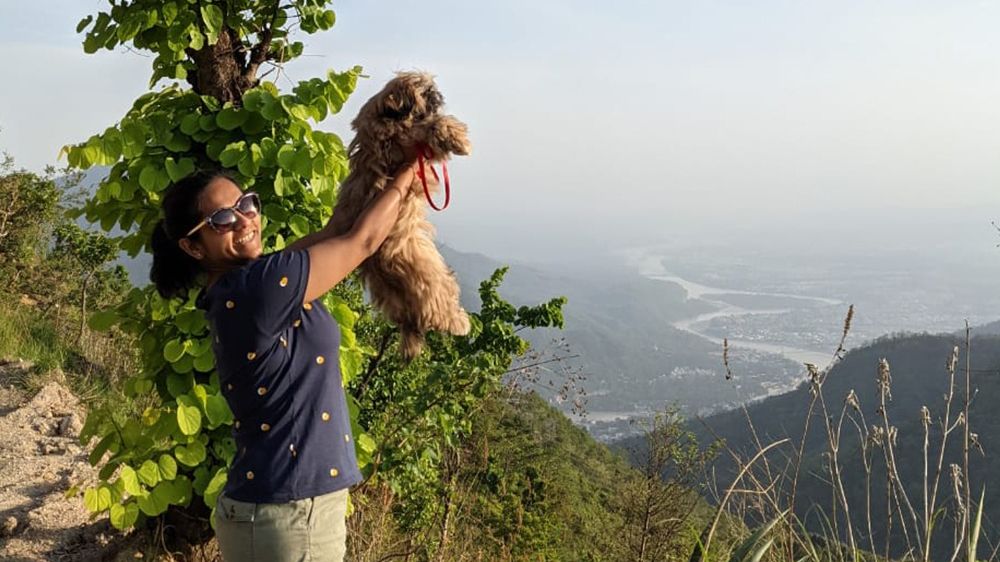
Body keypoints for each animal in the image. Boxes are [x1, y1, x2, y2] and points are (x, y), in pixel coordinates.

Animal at [328, 72, 468, 356]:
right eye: (425, 91)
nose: (438, 95)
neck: (388, 116)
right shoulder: (402, 140)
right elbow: (428, 127)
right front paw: (456, 137)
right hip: (427, 274)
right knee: (438, 307)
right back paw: (459, 322)